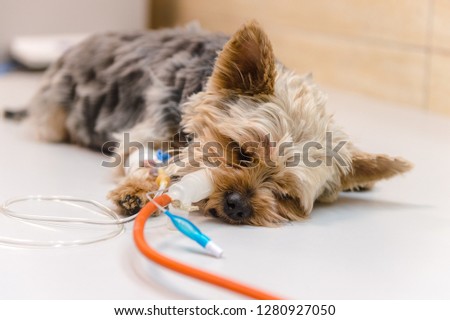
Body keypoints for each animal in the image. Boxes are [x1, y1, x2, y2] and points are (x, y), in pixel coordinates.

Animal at [9, 20, 412, 225]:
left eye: (285, 195)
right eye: (242, 151)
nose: (237, 205)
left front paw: (362, 176)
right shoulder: (147, 130)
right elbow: (142, 158)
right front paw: (138, 191)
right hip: (56, 108)